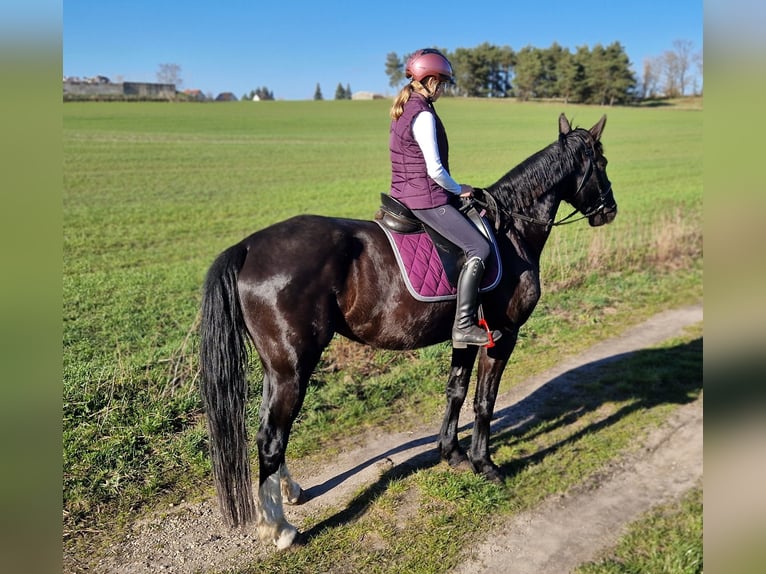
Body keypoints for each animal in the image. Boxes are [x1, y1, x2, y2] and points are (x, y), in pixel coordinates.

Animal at [199, 113, 617, 549]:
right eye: (602, 163)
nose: (610, 210)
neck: (511, 232)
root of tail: (248, 246)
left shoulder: (467, 335)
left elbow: (456, 391)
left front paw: (452, 454)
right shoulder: (503, 335)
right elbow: (484, 401)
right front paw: (485, 464)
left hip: (277, 368)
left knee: (269, 429)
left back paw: (290, 493)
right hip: (292, 368)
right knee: (271, 437)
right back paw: (279, 528)